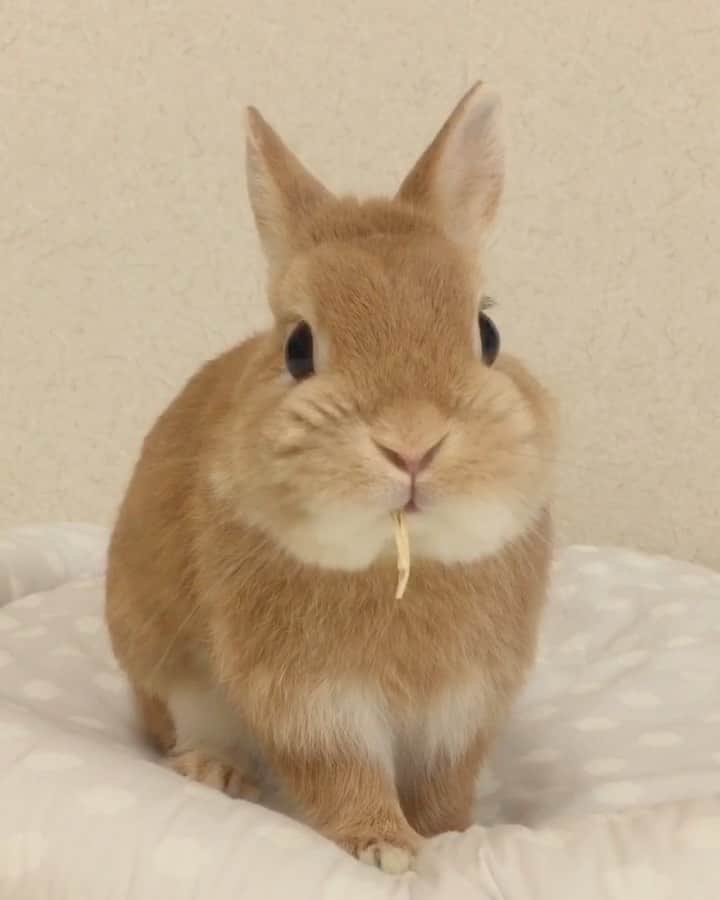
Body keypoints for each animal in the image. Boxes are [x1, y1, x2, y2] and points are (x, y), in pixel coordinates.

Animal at [106, 82, 556, 875]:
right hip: (163, 663)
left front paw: (451, 836)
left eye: (488, 334)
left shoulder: (465, 703)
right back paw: (216, 771)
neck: (401, 560)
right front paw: (386, 849)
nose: (411, 444)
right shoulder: (310, 699)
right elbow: (343, 771)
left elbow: (445, 780)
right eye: (298, 346)